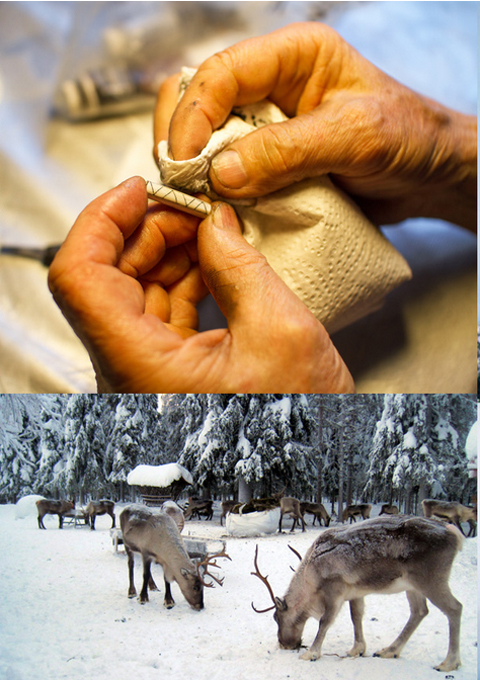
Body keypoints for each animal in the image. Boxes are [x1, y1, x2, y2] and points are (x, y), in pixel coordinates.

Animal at [251, 515, 463, 672]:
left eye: (277, 618)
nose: (284, 644)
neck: (311, 579)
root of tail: (455, 534)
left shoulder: (335, 590)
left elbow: (325, 621)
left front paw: (311, 653)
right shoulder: (355, 592)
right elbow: (357, 616)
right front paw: (357, 649)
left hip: (430, 580)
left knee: (455, 608)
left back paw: (449, 663)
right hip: (413, 586)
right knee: (419, 612)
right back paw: (389, 650)